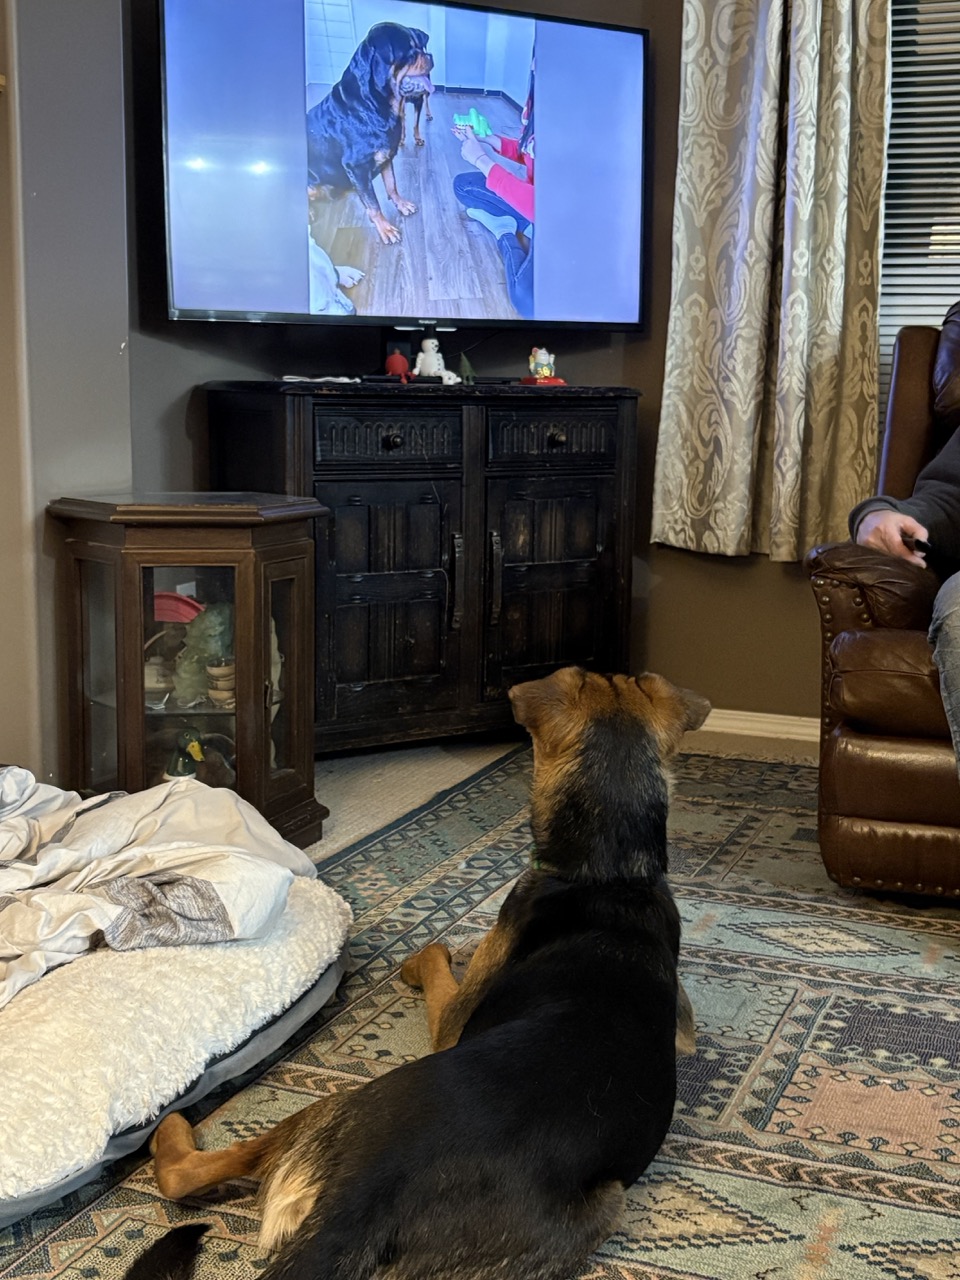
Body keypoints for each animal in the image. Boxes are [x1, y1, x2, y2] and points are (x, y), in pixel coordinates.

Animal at [128, 666, 709, 1280]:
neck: (611, 872)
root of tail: (357, 1207)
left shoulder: (455, 1017)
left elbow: (434, 957)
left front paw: (422, 958)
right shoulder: (684, 1026)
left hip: (334, 1108)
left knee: (186, 1173)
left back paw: (172, 1126)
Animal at [306, 23, 434, 245]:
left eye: (420, 46)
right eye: (410, 51)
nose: (431, 56)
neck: (373, 104)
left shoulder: (387, 156)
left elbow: (392, 185)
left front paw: (401, 204)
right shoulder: (356, 166)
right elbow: (373, 204)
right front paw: (386, 229)